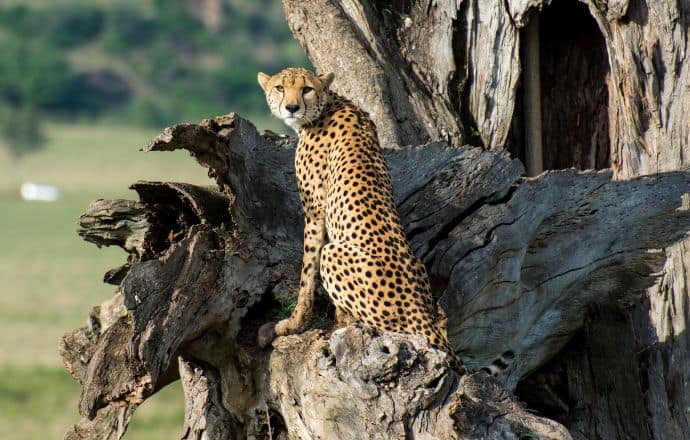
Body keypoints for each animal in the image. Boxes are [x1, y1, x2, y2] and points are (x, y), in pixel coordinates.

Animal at [255, 67, 464, 372]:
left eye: (306, 89)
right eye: (280, 88)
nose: (291, 107)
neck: (327, 105)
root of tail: (421, 312)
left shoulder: (315, 212)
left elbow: (307, 273)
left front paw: (294, 324)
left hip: (334, 253)